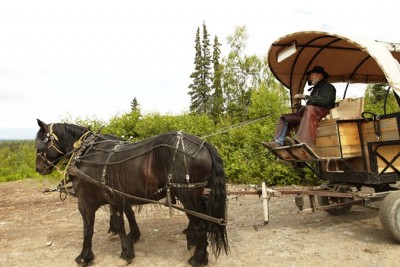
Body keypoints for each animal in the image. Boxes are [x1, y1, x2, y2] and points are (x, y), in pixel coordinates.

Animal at [34, 120, 228, 266]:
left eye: (40, 143)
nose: (38, 168)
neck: (86, 153)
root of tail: (204, 144)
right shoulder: (116, 197)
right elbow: (121, 221)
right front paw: (128, 248)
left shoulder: (85, 202)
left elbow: (88, 229)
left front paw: (84, 256)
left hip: (188, 194)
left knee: (202, 225)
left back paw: (197, 258)